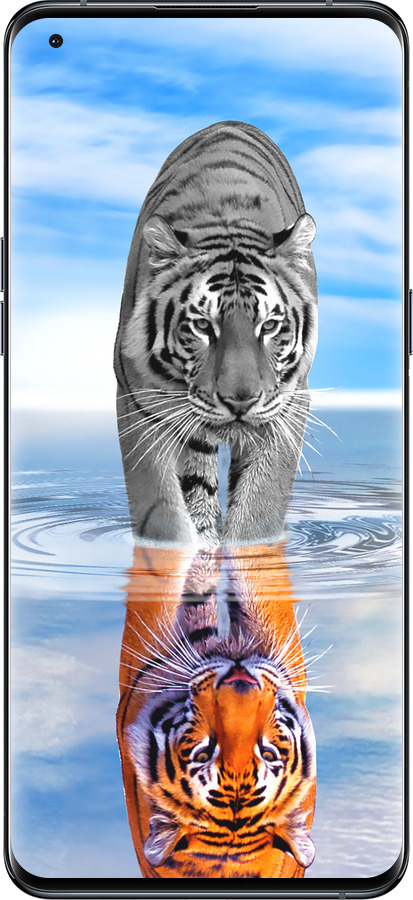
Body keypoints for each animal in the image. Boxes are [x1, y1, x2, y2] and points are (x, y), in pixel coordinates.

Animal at [114, 120, 318, 549]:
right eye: (203, 326)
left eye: (269, 326)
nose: (240, 401)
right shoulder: (138, 400)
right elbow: (161, 511)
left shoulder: (289, 404)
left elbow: (260, 509)